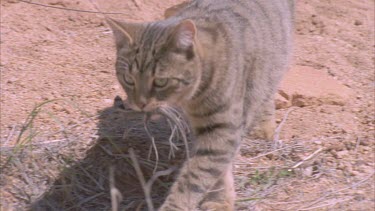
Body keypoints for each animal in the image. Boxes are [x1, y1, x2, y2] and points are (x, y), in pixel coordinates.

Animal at [107, 0, 296, 209]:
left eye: (160, 82)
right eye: (128, 79)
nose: (140, 103)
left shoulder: (223, 129)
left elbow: (196, 176)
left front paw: (196, 203)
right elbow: (213, 170)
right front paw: (219, 198)